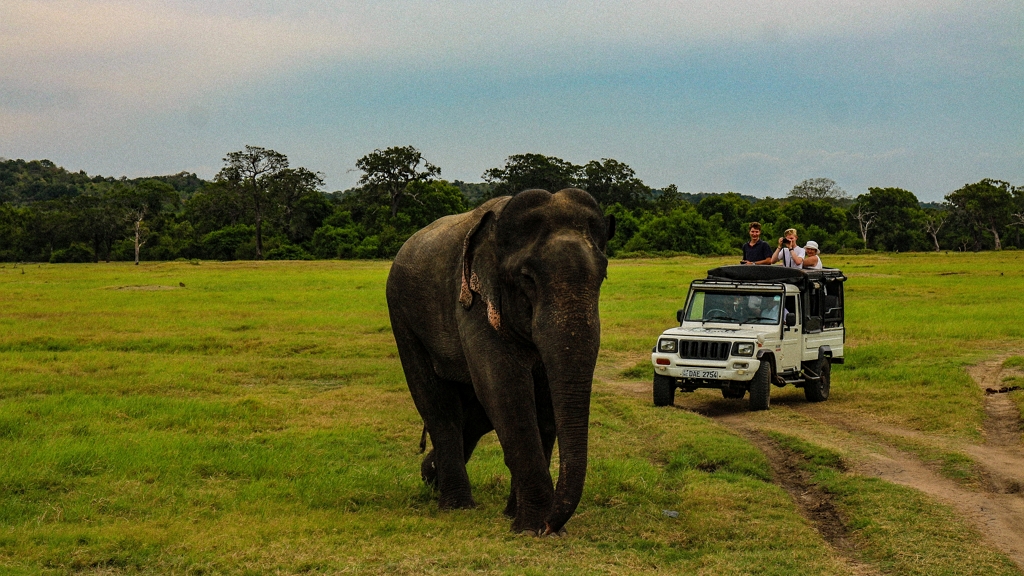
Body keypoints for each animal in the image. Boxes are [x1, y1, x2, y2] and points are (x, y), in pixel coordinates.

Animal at [385, 188, 610, 532]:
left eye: (603, 276)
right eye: (528, 278)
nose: (552, 525)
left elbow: (543, 399)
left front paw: (521, 517)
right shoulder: (474, 302)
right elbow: (504, 387)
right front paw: (532, 527)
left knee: (472, 415)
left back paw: (431, 475)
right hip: (402, 317)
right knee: (438, 405)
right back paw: (456, 505)